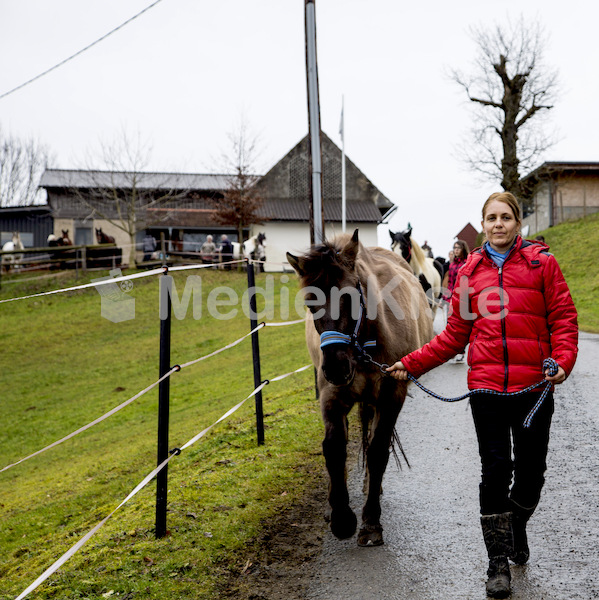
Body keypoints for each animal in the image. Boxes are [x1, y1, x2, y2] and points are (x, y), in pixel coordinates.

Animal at [288, 230, 434, 548]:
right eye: (310, 303)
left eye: (350, 296)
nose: (334, 367)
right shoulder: (331, 396)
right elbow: (333, 448)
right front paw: (341, 516)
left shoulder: (391, 396)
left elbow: (378, 450)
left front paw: (370, 521)